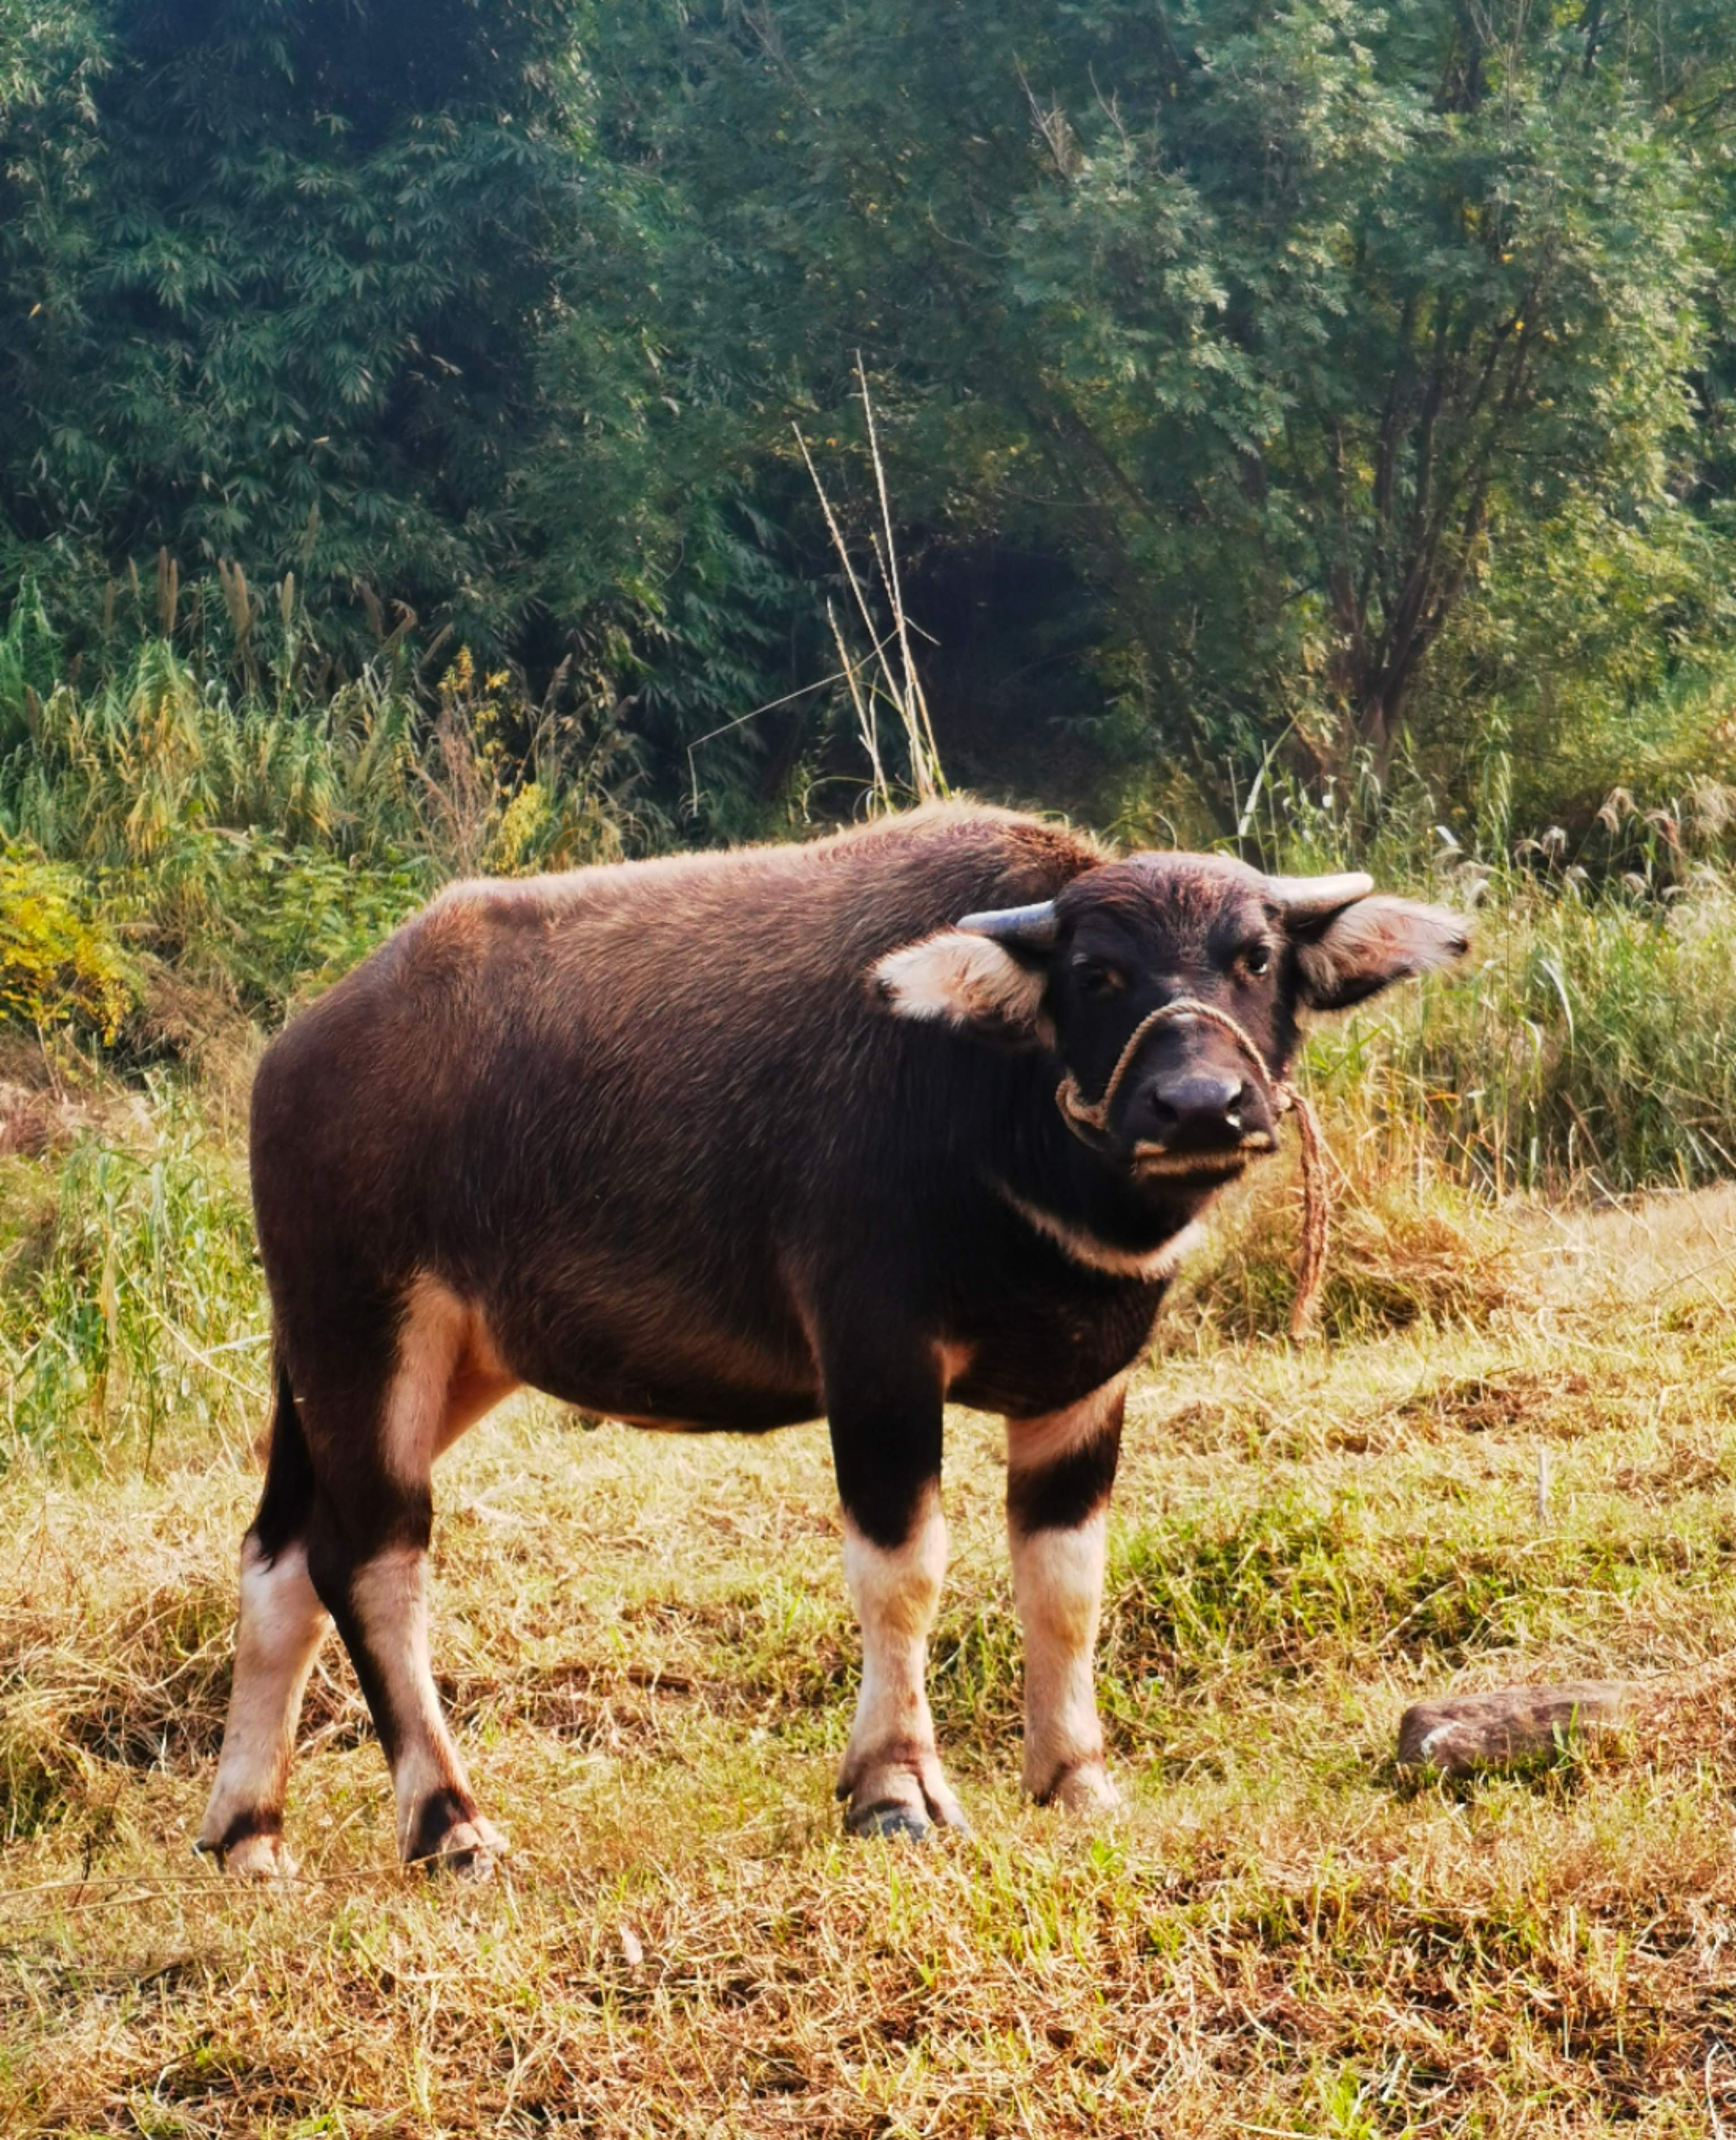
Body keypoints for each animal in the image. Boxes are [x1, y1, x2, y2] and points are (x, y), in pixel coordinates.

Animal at [197, 804, 1464, 1874]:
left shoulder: (1088, 1382)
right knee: (376, 1557)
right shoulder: (877, 1358)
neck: (996, 1112)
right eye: (1098, 972)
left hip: (389, 1361)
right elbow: (904, 1571)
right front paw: (895, 1789)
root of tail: (294, 1060)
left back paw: (247, 1831)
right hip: (368, 1330)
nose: (1200, 1105)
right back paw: (450, 1823)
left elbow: (1065, 1582)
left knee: (284, 1553)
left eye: (1254, 958)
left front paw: (1075, 1777)